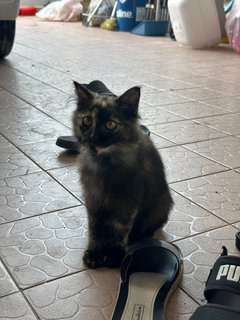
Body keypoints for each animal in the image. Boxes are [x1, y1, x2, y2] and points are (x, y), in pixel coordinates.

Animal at [72, 80, 172, 268]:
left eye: (110, 125)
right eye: (87, 120)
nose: (93, 137)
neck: (104, 163)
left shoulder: (128, 201)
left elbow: (120, 230)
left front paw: (114, 255)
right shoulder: (93, 199)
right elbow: (95, 228)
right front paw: (95, 253)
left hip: (160, 206)